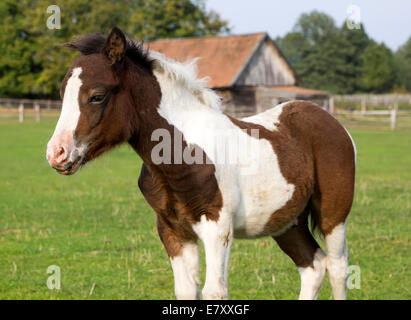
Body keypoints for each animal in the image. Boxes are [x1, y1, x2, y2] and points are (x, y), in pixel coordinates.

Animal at [46, 28, 358, 300]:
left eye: (97, 96)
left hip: (333, 215)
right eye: (62, 94)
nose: (56, 153)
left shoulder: (218, 228)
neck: (181, 155)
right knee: (313, 267)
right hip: (286, 221)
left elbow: (214, 292)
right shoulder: (173, 230)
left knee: (338, 268)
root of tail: (329, 119)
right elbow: (186, 290)